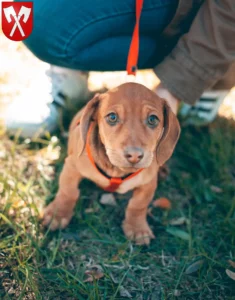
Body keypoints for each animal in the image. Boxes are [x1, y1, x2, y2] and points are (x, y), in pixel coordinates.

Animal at [43, 81, 181, 244]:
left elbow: (138, 205)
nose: (134, 155)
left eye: (153, 119)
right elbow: (68, 192)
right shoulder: (72, 167)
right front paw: (57, 214)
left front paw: (137, 228)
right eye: (112, 117)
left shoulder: (148, 183)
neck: (116, 170)